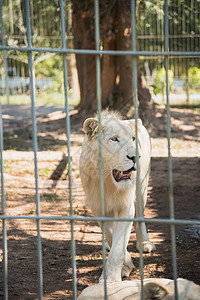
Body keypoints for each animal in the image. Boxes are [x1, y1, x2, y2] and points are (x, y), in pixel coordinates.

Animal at [79, 110, 156, 282]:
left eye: (133, 139)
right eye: (114, 139)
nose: (135, 157)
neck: (108, 181)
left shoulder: (126, 207)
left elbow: (118, 248)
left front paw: (111, 280)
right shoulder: (98, 207)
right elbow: (111, 236)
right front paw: (125, 265)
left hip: (142, 188)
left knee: (140, 216)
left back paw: (144, 243)